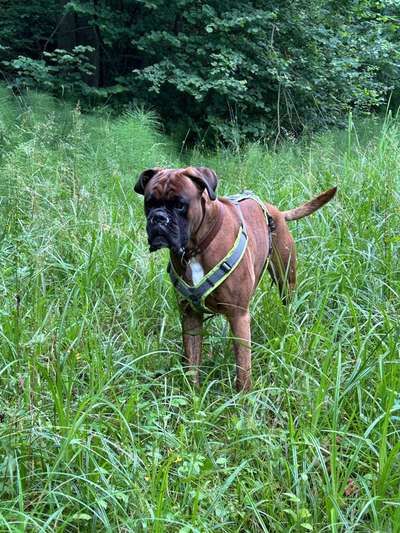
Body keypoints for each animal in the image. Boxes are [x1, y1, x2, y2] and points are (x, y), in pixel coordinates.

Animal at [135, 166, 338, 390]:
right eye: (149, 204)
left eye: (180, 205)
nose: (158, 218)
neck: (197, 247)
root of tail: (276, 212)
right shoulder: (190, 316)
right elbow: (192, 362)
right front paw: (193, 392)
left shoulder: (238, 316)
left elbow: (243, 367)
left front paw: (243, 397)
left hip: (286, 280)